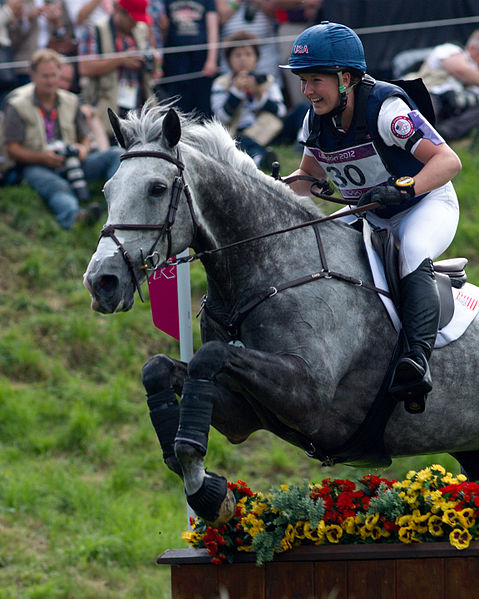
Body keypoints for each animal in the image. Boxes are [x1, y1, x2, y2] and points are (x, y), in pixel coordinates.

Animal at [83, 102, 479, 524]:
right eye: (107, 190)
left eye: (157, 188)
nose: (101, 281)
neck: (266, 263)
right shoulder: (244, 412)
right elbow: (158, 369)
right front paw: (204, 485)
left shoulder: (307, 394)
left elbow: (210, 356)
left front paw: (206, 492)